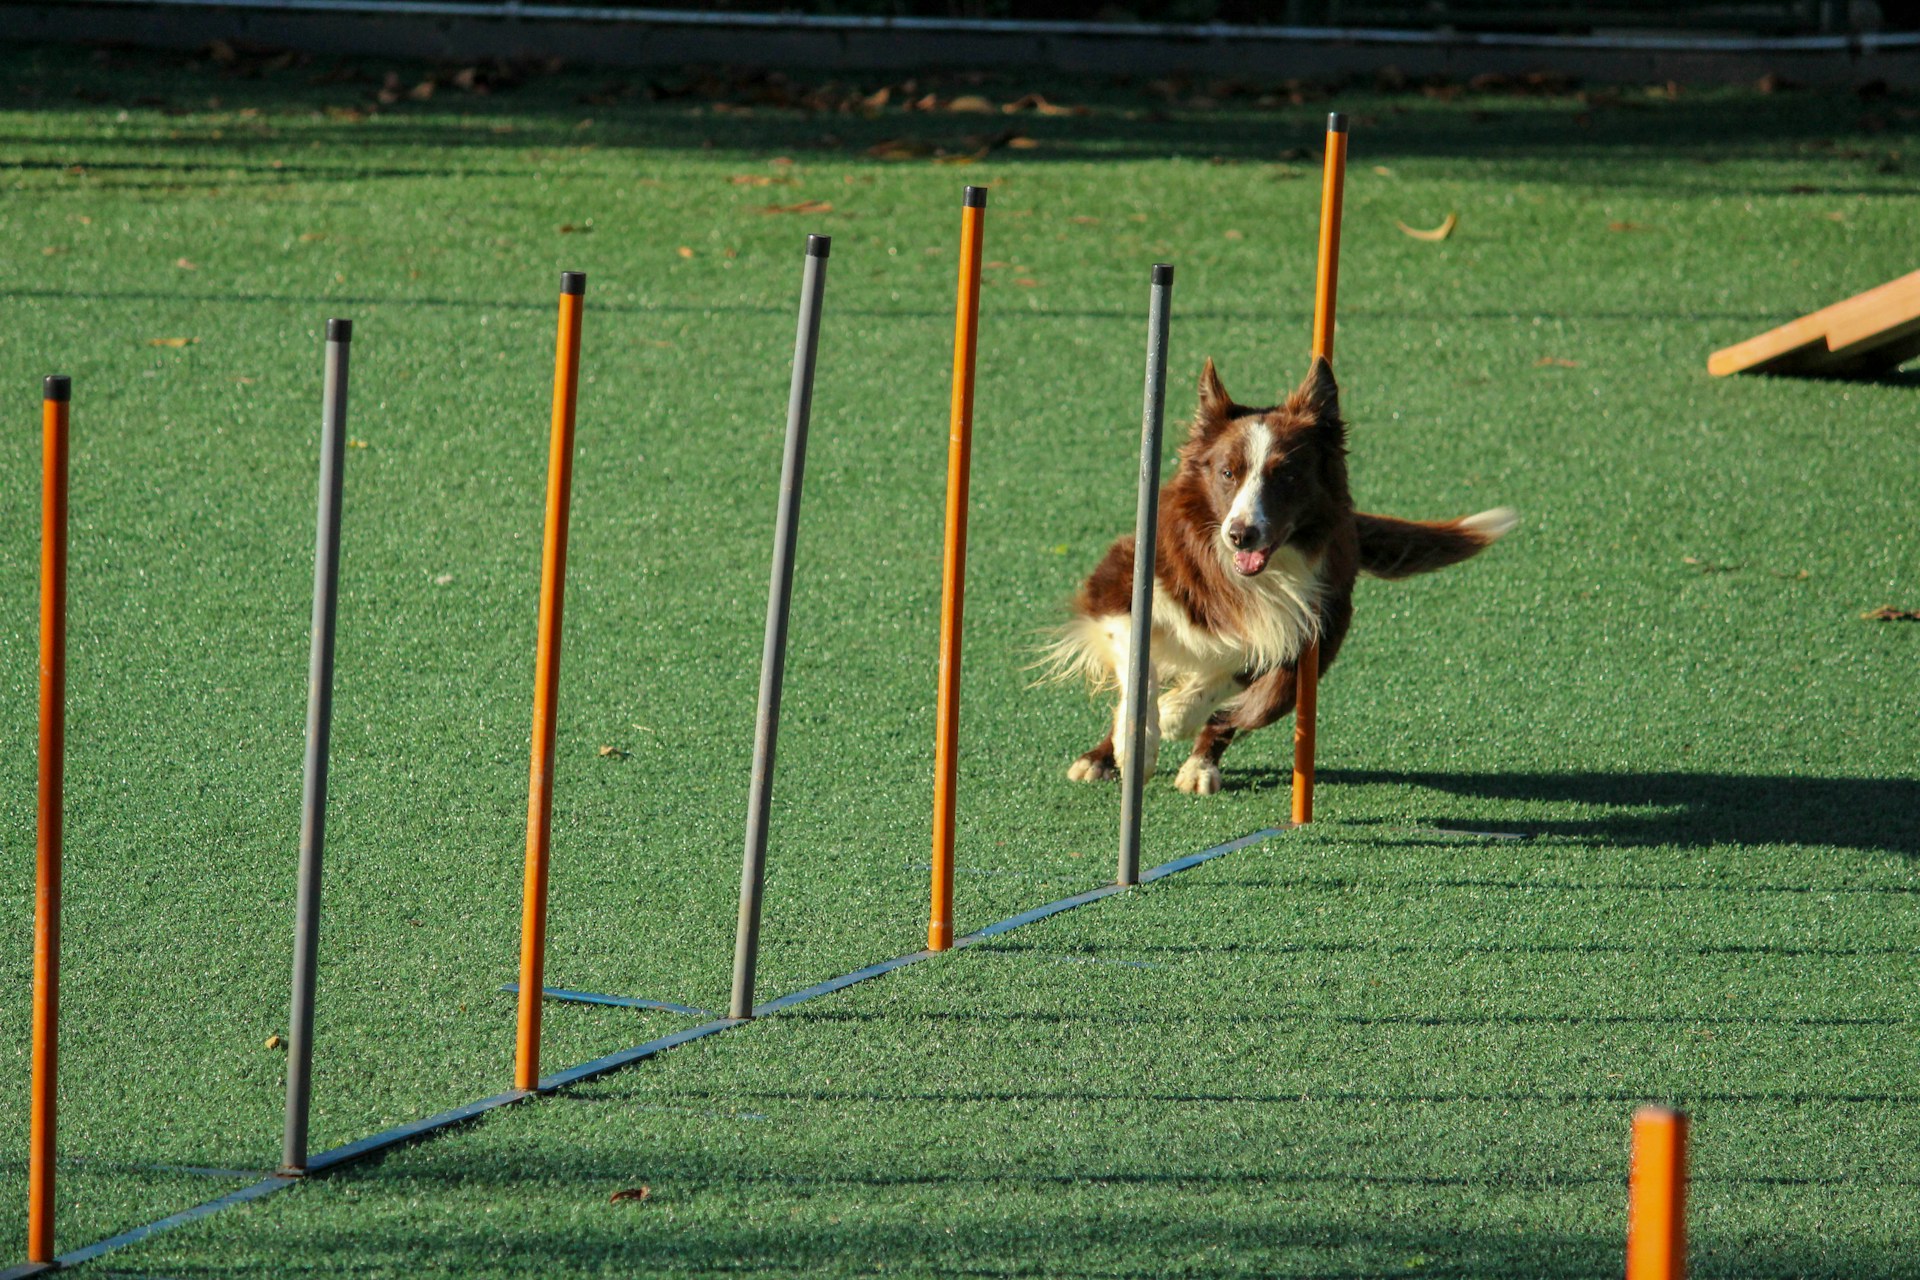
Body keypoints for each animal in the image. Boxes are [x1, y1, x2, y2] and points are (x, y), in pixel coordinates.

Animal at [1052, 351, 1512, 790]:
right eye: (1227, 473)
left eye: (1286, 476)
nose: (1241, 535)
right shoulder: (1118, 583)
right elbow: (1138, 671)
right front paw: (1139, 744)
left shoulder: (1290, 629)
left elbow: (1221, 683)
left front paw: (1175, 713)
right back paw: (1099, 759)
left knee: (1235, 715)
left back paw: (1199, 765)